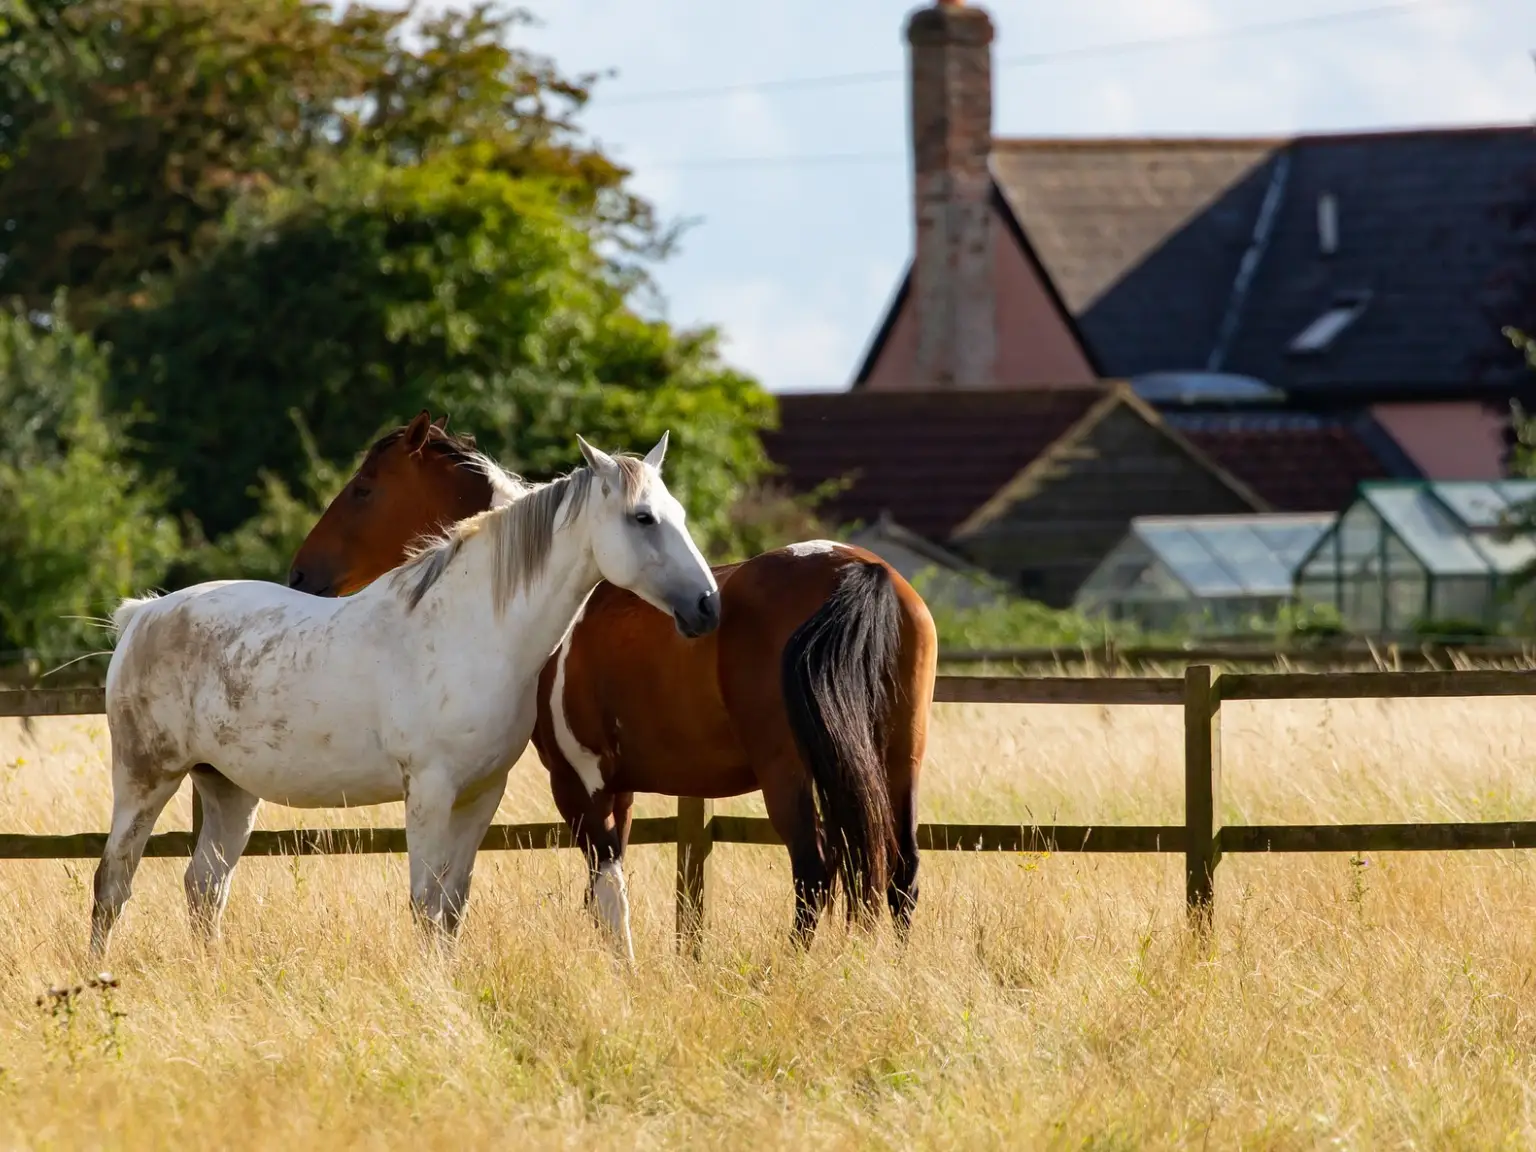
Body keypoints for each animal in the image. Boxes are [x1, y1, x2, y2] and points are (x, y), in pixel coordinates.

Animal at [91, 436, 718, 958]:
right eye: (642, 517)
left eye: (679, 516)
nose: (707, 606)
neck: (473, 630)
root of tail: (143, 614)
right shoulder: (430, 792)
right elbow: (424, 904)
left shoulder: (481, 795)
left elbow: (453, 908)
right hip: (145, 779)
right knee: (113, 880)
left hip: (228, 791)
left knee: (204, 886)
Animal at [287, 411, 933, 952]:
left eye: (364, 488)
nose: (300, 573)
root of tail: (858, 569)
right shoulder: (618, 787)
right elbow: (604, 894)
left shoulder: (578, 782)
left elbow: (605, 889)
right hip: (899, 762)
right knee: (899, 874)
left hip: (790, 771)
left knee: (814, 873)